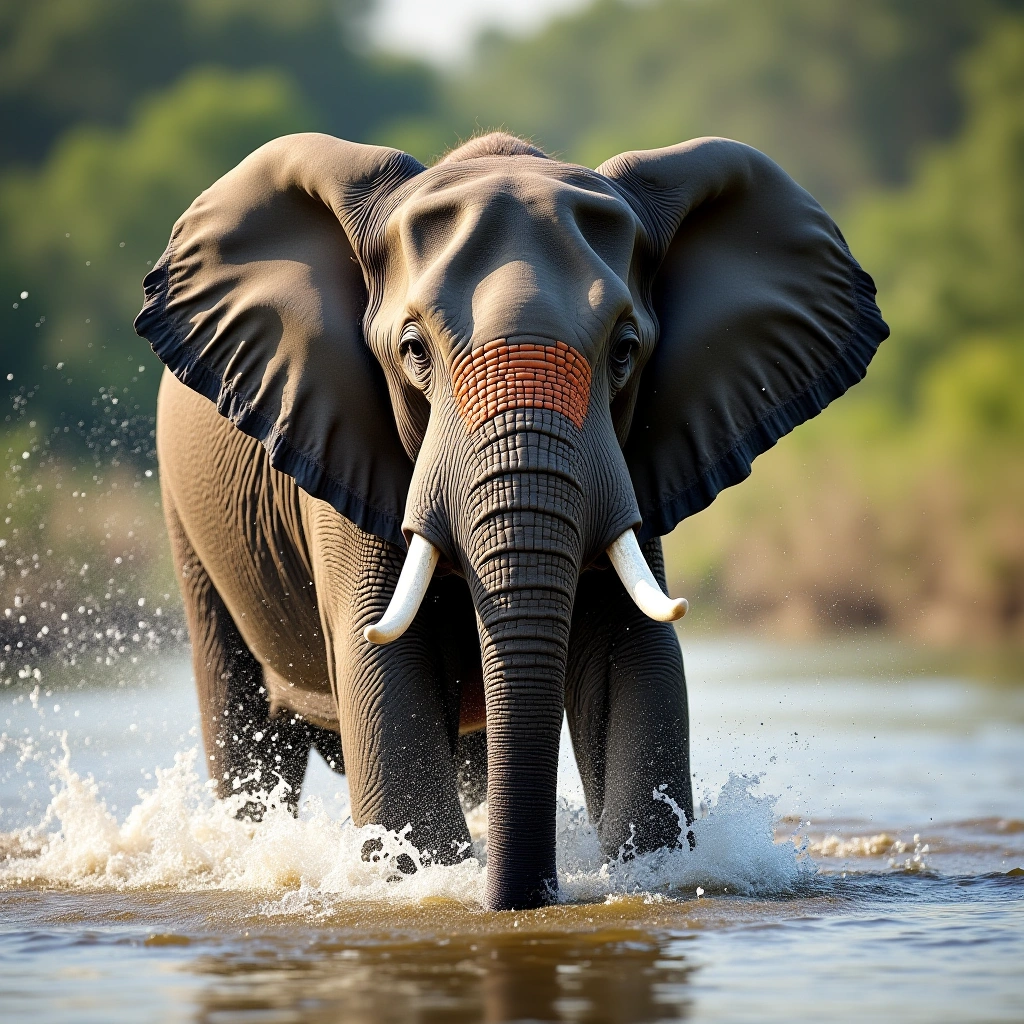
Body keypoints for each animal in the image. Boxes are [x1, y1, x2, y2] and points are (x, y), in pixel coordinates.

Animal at [135, 131, 887, 911]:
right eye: (413, 350)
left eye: (626, 350)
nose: (527, 897)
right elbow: (383, 659)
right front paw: (428, 882)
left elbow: (632, 651)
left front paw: (647, 877)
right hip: (189, 523)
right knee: (239, 716)